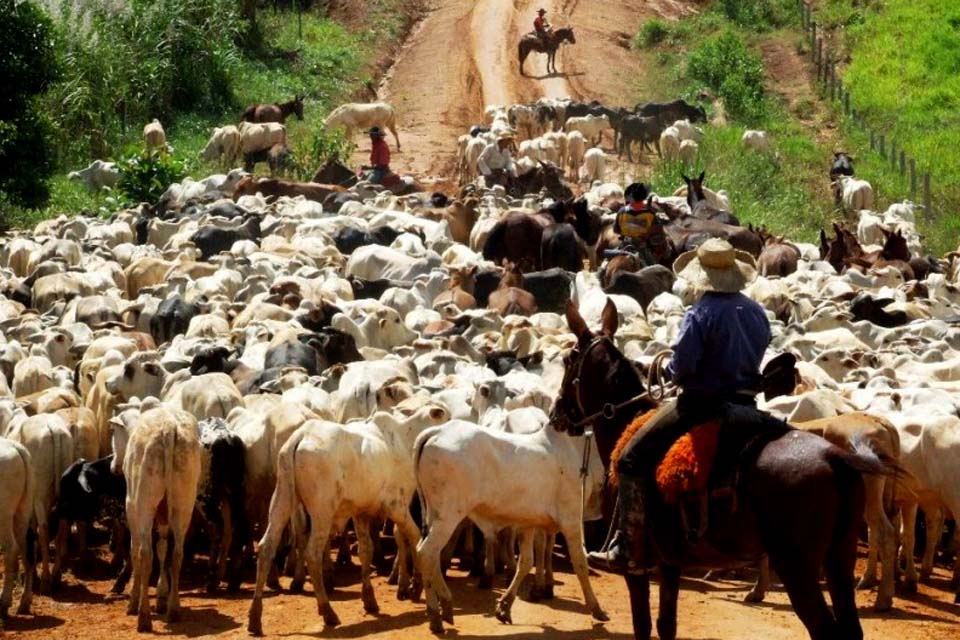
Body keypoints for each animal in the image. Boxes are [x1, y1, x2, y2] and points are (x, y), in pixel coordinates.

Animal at [552, 300, 896, 640]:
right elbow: (666, 625)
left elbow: (643, 626)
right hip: (839, 557)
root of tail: (835, 457)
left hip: (797, 566)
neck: (626, 422)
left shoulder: (635, 565)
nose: (556, 414)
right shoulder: (669, 560)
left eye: (569, 359)